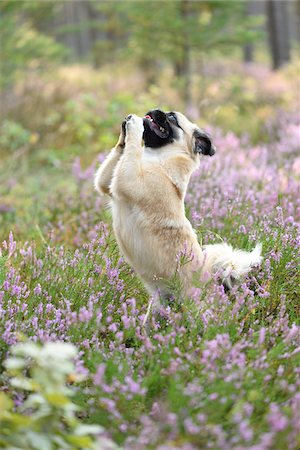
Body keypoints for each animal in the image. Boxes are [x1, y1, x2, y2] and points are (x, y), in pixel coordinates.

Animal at [95, 110, 262, 312]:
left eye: (172, 118)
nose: (154, 111)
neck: (157, 158)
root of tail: (215, 282)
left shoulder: (129, 180)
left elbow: (133, 148)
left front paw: (134, 126)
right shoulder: (108, 183)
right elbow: (119, 154)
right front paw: (124, 133)